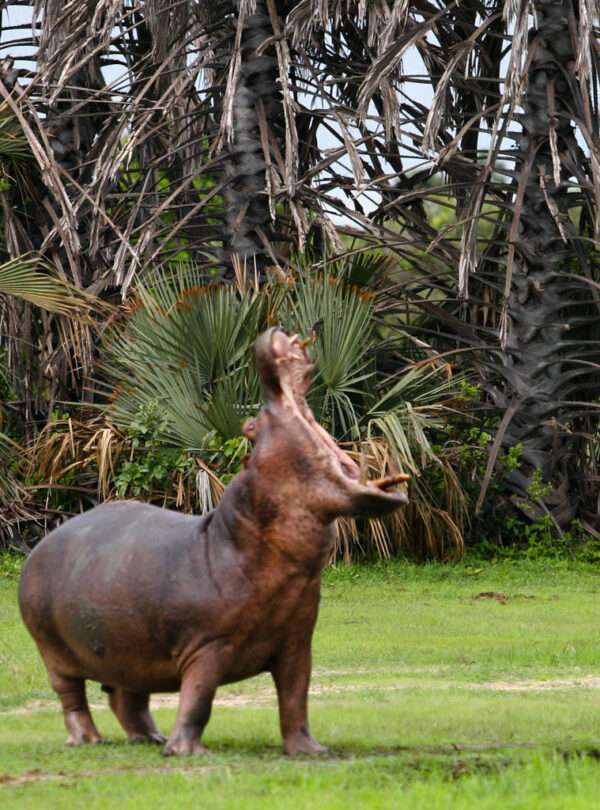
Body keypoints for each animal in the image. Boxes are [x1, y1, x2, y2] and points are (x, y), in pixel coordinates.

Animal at [19, 328, 408, 756]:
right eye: (250, 426)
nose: (273, 335)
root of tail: (40, 545)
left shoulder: (296, 645)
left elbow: (295, 699)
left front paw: (310, 751)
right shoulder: (208, 647)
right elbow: (199, 699)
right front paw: (186, 752)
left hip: (127, 648)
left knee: (127, 696)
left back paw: (150, 738)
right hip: (54, 652)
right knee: (71, 697)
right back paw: (88, 740)